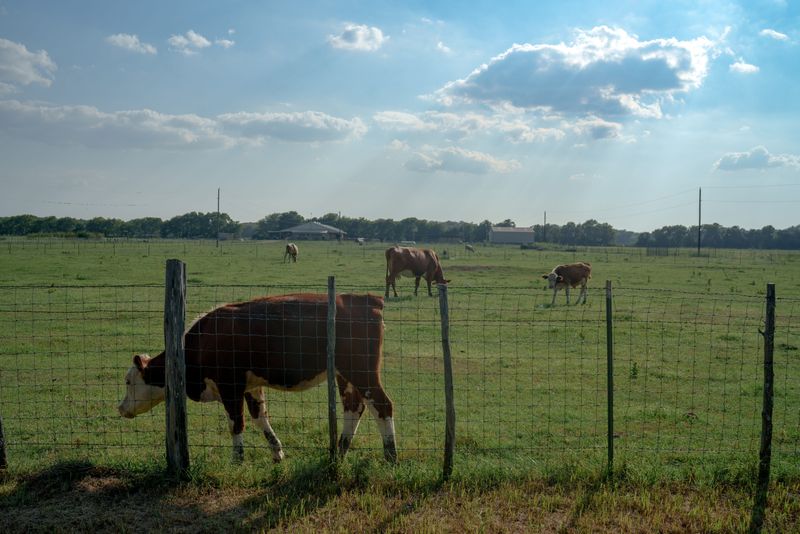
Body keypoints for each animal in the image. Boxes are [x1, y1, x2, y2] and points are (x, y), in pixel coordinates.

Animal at [118, 293, 397, 463]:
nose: (120, 408)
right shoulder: (251, 387)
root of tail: (364, 299)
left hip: (361, 371)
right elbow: (260, 418)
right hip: (345, 375)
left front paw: (237, 460)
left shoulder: (230, 386)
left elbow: (236, 423)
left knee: (382, 406)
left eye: (128, 382)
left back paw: (390, 455)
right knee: (354, 408)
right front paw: (276, 453)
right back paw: (340, 452)